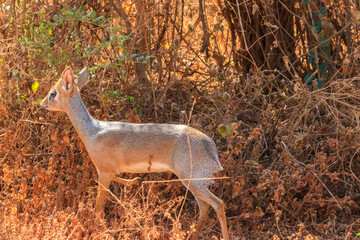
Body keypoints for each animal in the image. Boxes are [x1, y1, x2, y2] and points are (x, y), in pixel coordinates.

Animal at [40, 66, 229, 240]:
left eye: (53, 93)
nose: (41, 104)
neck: (92, 132)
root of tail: (211, 149)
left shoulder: (104, 171)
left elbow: (99, 207)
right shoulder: (107, 170)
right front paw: (135, 181)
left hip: (192, 181)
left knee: (219, 204)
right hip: (196, 183)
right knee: (205, 209)